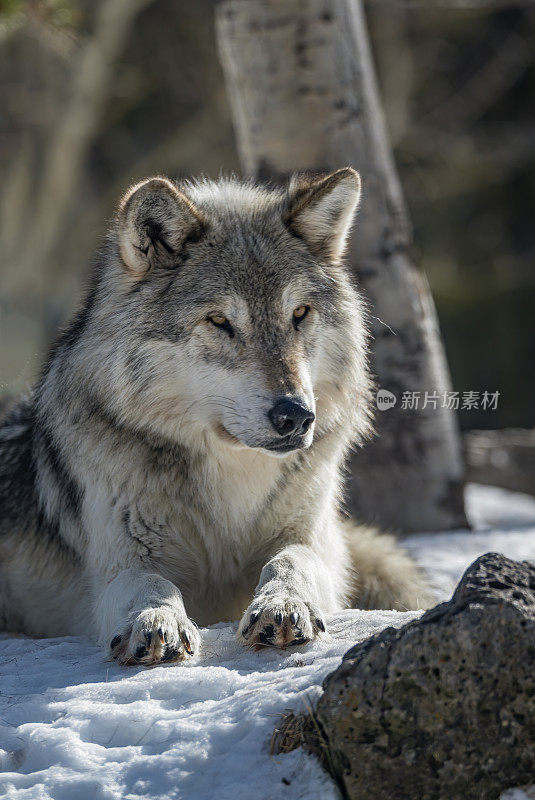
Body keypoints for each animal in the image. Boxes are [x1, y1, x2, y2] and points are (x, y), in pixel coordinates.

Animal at [0, 172, 432, 664]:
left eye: (299, 314)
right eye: (220, 321)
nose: (296, 415)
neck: (233, 480)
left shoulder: (313, 537)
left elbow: (291, 560)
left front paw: (283, 605)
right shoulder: (118, 561)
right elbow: (148, 582)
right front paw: (157, 619)